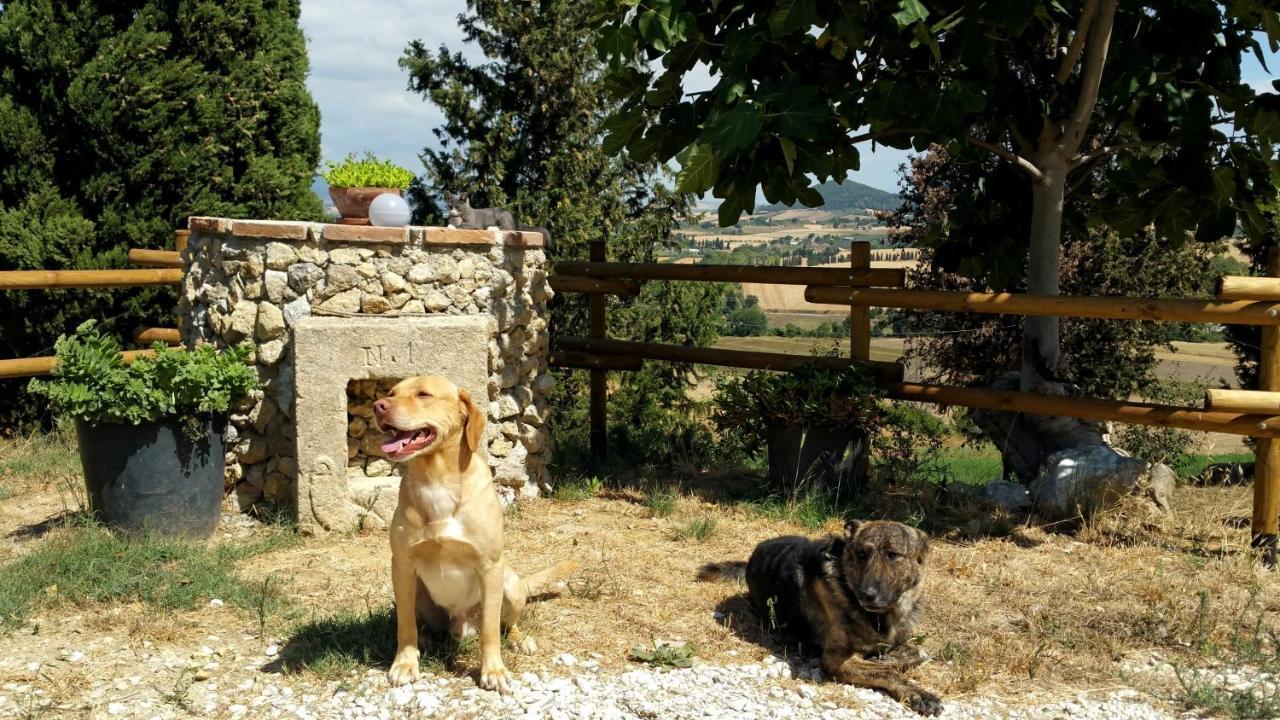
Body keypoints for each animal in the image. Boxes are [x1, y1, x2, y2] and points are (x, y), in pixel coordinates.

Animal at [373, 376, 578, 691]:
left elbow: (491, 630)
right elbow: (405, 625)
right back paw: (427, 638)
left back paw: (520, 640)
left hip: (510, 585)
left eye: (423, 394)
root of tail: (461, 628)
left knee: (507, 625)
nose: (378, 406)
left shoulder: (490, 567)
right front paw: (405, 663)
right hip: (415, 588)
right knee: (421, 624)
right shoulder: (402, 565)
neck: (437, 480)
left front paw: (493, 670)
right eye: (392, 393)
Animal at [701, 517, 942, 712]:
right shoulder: (836, 659)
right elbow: (887, 672)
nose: (866, 595)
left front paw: (890, 658)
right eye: (861, 554)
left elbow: (919, 652)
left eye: (892, 555)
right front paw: (919, 693)